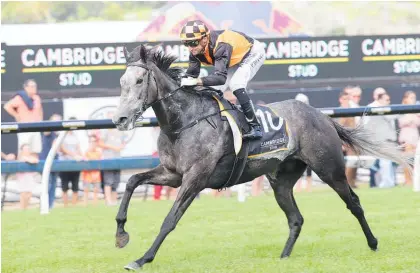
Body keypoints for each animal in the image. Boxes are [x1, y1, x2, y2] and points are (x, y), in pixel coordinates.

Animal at [112, 43, 414, 268]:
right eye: (121, 82)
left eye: (139, 80)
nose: (120, 119)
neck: (183, 122)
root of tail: (322, 116)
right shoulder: (172, 174)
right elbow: (132, 182)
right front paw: (121, 235)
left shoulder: (195, 179)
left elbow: (170, 219)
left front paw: (142, 259)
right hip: (281, 180)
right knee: (296, 218)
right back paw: (283, 257)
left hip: (329, 169)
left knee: (354, 203)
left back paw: (373, 243)